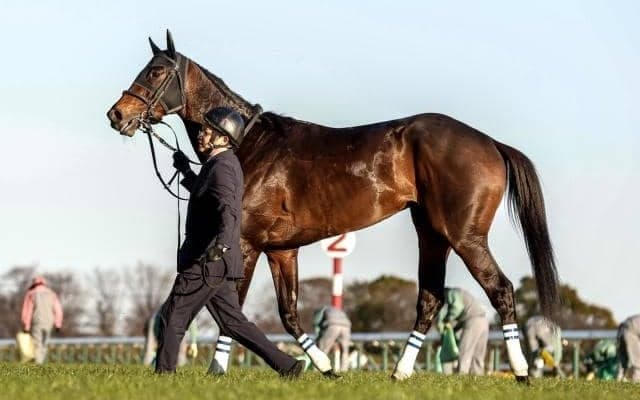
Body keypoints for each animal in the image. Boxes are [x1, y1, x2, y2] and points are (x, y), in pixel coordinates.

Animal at [107, 31, 558, 380]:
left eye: (156, 71)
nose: (117, 114)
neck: (248, 144)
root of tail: (490, 143)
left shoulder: (246, 243)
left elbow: (233, 313)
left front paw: (218, 369)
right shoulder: (282, 251)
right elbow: (287, 314)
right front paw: (323, 367)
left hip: (465, 236)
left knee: (500, 289)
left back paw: (521, 371)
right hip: (432, 234)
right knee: (429, 299)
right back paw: (400, 372)